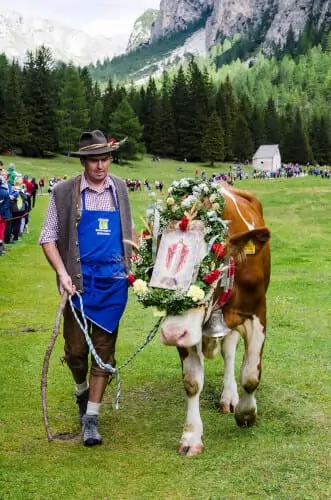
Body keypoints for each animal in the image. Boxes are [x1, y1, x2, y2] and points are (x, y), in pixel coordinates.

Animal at [128, 178, 272, 456]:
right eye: (152, 266)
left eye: (208, 266)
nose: (172, 335)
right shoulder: (184, 328)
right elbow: (192, 382)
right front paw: (191, 437)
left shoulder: (258, 313)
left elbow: (250, 375)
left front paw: (246, 414)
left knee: (229, 353)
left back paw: (229, 397)